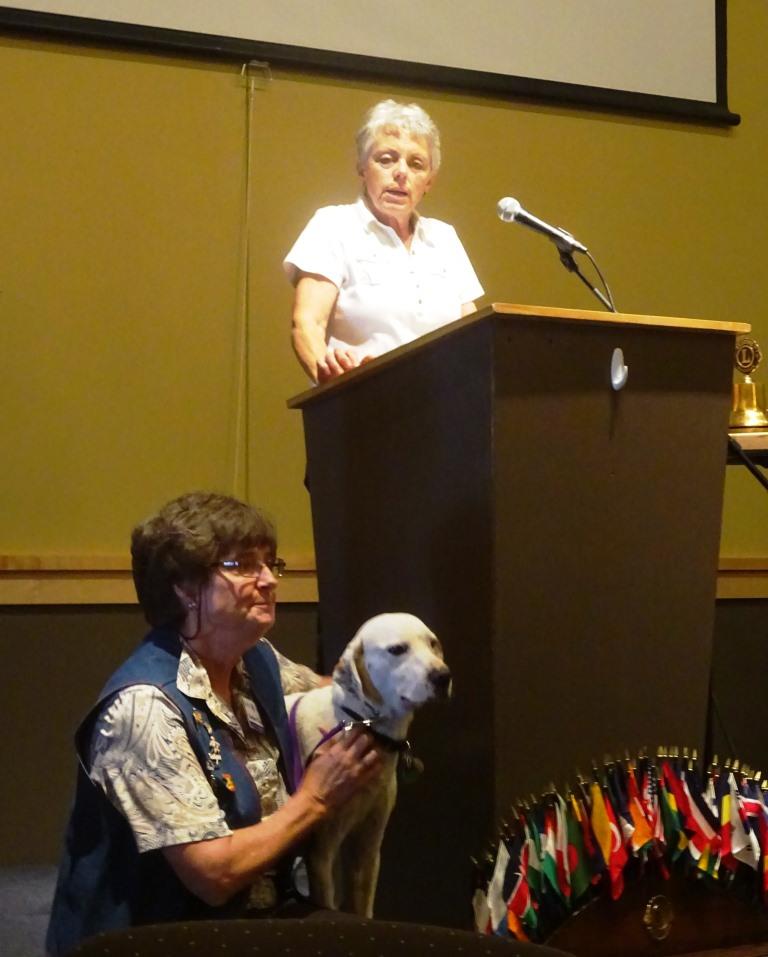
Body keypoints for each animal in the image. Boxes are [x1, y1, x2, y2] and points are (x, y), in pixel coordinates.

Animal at [285, 612, 451, 917]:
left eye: (433, 643)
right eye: (397, 649)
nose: (442, 676)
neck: (359, 723)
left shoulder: (369, 845)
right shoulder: (321, 853)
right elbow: (327, 900)